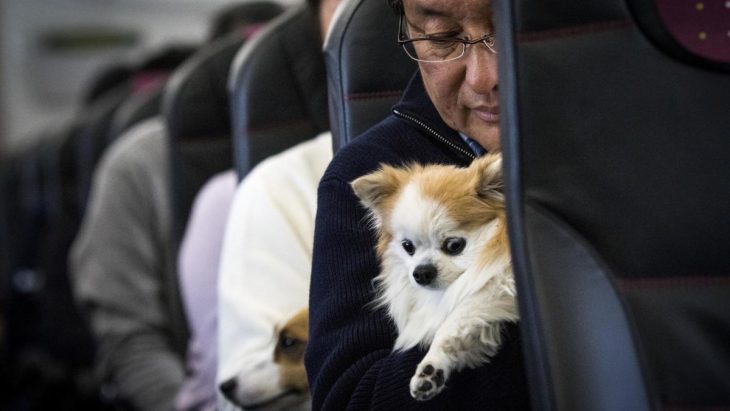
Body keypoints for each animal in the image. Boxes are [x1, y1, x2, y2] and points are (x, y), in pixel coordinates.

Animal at [348, 153, 516, 400]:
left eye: (454, 245)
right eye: (408, 247)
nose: (421, 272)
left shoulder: (498, 284)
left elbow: (456, 317)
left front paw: (431, 363)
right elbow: (460, 331)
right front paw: (432, 369)